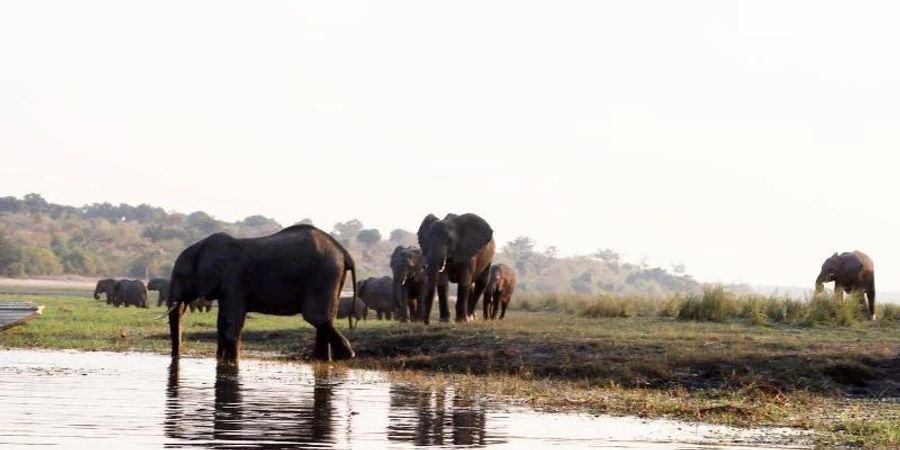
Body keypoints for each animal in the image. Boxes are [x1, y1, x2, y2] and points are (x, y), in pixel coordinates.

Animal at [162, 223, 358, 364]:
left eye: (179, 276)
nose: (176, 357)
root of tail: (344, 252)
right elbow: (222, 321)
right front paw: (222, 360)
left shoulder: (234, 279)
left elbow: (232, 321)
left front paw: (231, 362)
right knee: (323, 320)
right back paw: (323, 360)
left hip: (323, 274)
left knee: (316, 317)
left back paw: (346, 356)